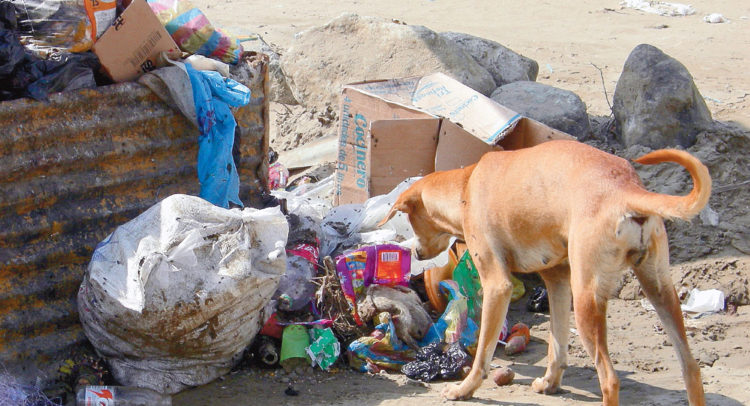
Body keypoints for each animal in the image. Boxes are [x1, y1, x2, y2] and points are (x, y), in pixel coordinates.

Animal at [382, 140, 712, 406]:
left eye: (411, 221)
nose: (417, 254)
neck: (466, 185)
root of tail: (627, 190)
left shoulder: (498, 285)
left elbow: (484, 354)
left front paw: (465, 389)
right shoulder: (557, 281)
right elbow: (557, 344)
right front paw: (551, 383)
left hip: (587, 300)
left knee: (610, 379)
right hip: (659, 290)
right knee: (692, 368)